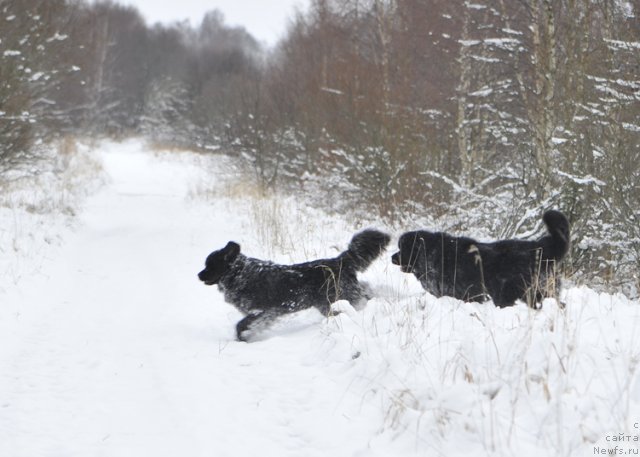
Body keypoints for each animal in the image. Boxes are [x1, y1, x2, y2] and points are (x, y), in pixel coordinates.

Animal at [199, 228, 390, 338]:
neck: (239, 273)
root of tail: (339, 260)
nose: (198, 275)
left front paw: (243, 337)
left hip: (337, 299)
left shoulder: (262, 311)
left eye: (210, 265)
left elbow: (240, 325)